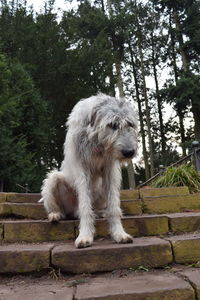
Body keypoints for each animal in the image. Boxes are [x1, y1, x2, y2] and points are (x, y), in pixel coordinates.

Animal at [40, 94, 138, 248]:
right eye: (112, 125)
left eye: (130, 124)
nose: (129, 152)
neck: (97, 141)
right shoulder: (82, 168)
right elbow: (85, 204)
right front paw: (85, 235)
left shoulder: (110, 169)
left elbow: (114, 205)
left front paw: (119, 233)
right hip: (53, 180)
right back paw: (55, 214)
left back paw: (101, 213)